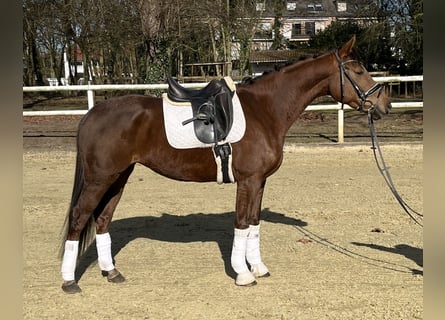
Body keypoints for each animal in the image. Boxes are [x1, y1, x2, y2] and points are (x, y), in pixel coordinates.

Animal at [60, 37, 390, 292]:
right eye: (358, 70)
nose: (384, 105)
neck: (264, 110)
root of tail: (91, 114)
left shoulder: (260, 182)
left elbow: (254, 224)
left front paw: (258, 268)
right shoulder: (248, 180)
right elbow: (241, 224)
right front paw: (243, 274)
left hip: (118, 177)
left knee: (102, 219)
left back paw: (111, 272)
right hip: (100, 179)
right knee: (78, 218)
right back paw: (69, 280)